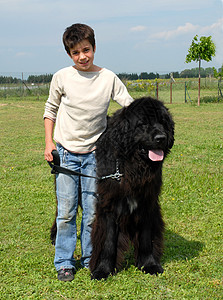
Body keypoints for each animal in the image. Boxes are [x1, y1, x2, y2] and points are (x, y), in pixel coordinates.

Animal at [89, 97, 174, 280]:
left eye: (163, 122)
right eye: (143, 123)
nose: (161, 137)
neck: (132, 168)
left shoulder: (148, 204)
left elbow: (146, 237)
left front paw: (149, 264)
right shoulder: (109, 204)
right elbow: (108, 241)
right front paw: (103, 270)